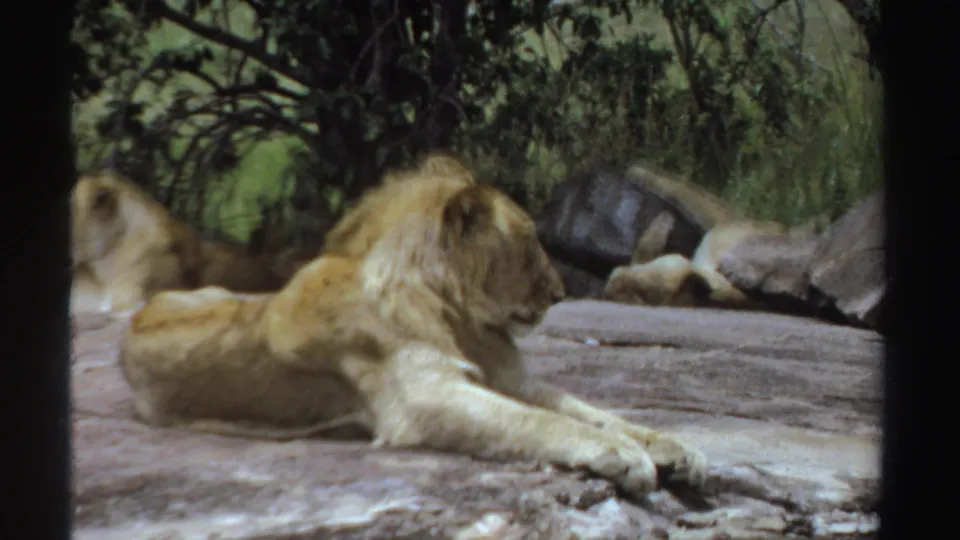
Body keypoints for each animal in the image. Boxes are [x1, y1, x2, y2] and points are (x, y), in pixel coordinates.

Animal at [118, 153, 707, 500]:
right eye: (527, 242)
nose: (560, 293)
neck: (457, 312)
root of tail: (139, 314)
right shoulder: (424, 395)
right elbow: (540, 423)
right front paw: (624, 457)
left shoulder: (509, 379)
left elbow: (590, 411)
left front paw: (673, 447)